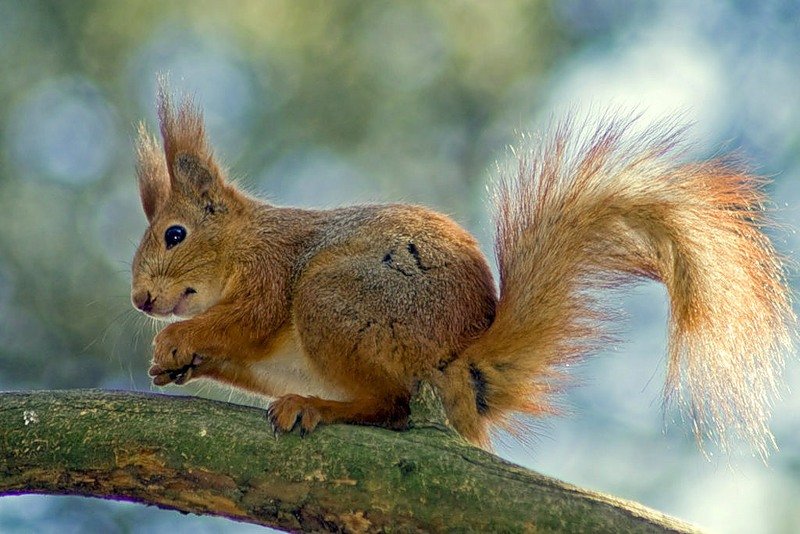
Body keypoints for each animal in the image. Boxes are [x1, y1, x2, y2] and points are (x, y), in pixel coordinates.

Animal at [131, 85, 794, 456]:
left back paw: (315, 407)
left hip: (334, 300)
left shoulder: (273, 270)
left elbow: (251, 317)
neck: (244, 240)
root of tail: (459, 361)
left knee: (392, 405)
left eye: (174, 234)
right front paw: (174, 365)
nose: (140, 301)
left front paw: (177, 339)